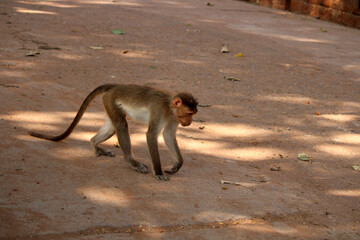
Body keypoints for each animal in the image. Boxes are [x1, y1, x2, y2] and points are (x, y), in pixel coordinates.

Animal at [28, 84, 198, 180]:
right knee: (121, 125)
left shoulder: (174, 118)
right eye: (189, 113)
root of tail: (115, 86)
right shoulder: (159, 110)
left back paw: (95, 144)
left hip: (109, 103)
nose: (190, 122)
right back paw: (131, 162)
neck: (169, 107)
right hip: (110, 99)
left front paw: (177, 165)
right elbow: (151, 135)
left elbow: (168, 135)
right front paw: (158, 172)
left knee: (112, 127)